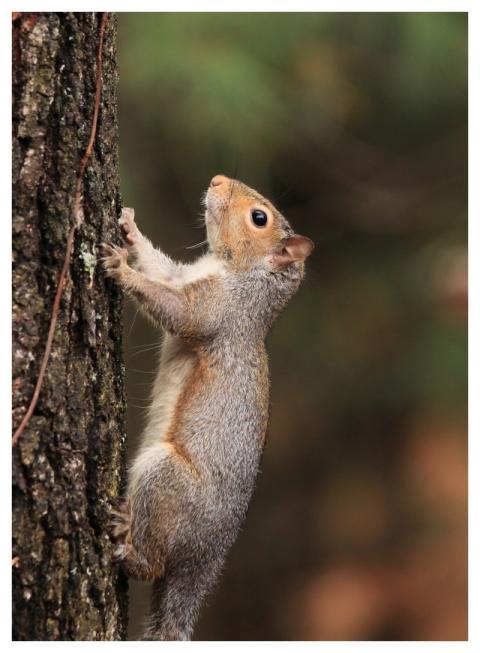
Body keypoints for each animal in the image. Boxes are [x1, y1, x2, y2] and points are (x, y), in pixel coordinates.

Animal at [102, 174, 314, 640]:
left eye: (259, 218)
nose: (217, 180)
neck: (238, 273)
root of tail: (204, 558)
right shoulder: (182, 276)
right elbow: (159, 268)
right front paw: (130, 230)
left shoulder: (218, 310)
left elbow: (177, 311)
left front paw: (119, 267)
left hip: (166, 480)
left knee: (152, 565)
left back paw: (127, 546)